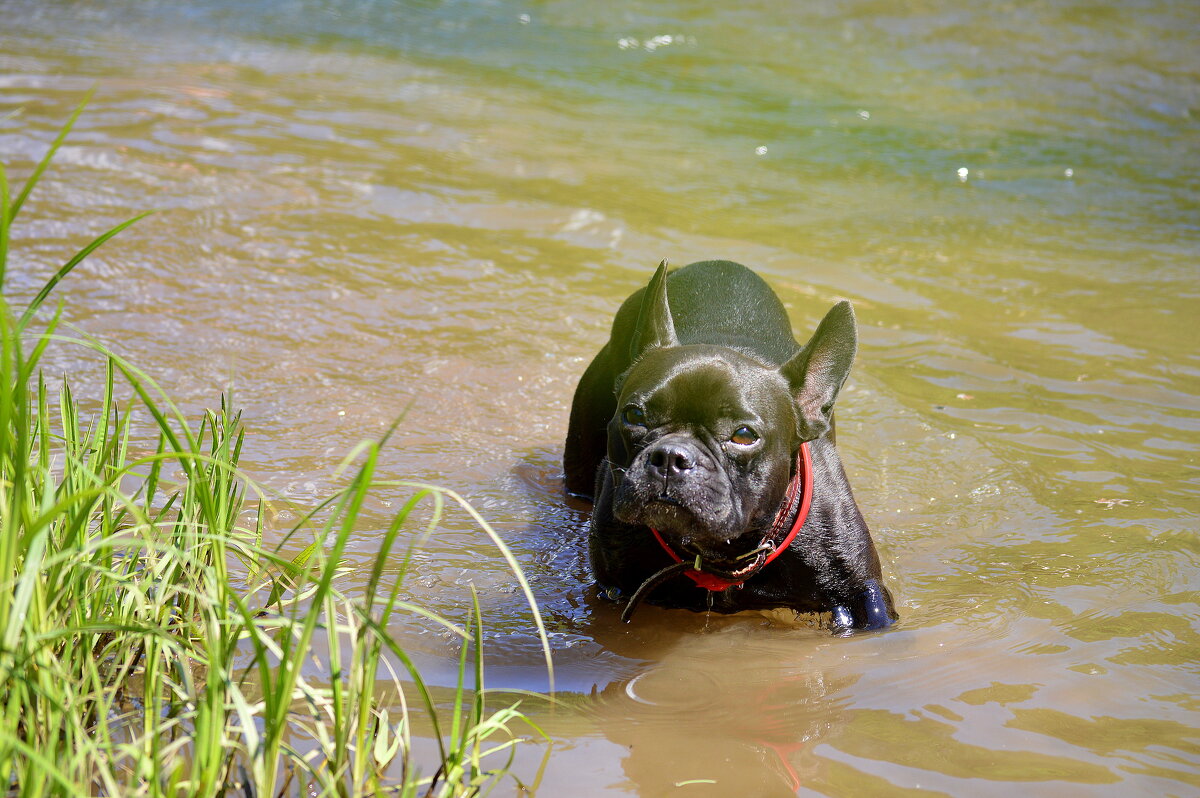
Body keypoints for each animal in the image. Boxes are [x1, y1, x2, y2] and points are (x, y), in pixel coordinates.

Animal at [566, 258, 897, 633]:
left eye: (743, 435)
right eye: (634, 415)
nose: (671, 456)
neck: (720, 554)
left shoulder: (864, 595)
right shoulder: (614, 588)